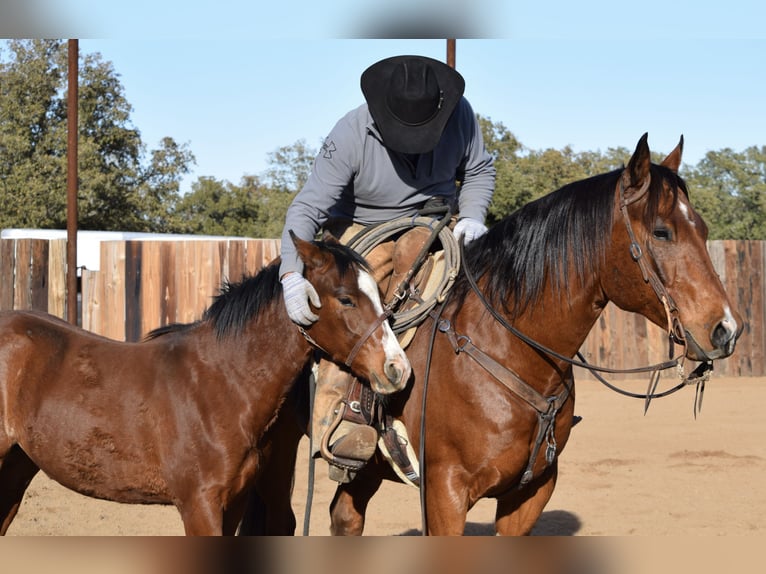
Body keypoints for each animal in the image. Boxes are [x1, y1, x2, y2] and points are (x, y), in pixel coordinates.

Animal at [0, 233, 414, 536]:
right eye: (346, 299)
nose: (397, 368)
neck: (219, 385)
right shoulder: (199, 506)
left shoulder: (233, 504)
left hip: (17, 465)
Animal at [242, 134, 744, 536]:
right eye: (661, 231)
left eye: (702, 228)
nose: (726, 329)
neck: (507, 348)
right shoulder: (444, 494)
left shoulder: (531, 494)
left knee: (345, 517)